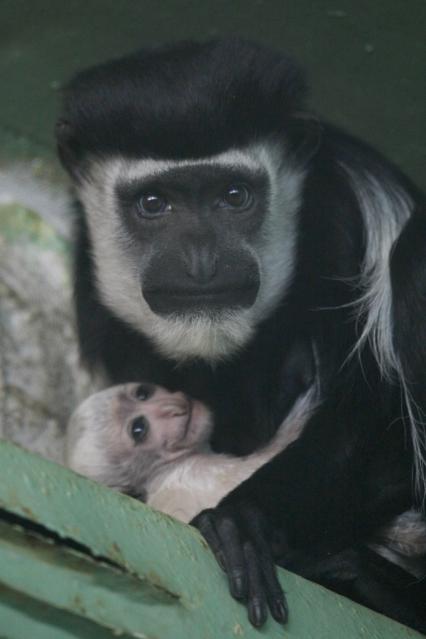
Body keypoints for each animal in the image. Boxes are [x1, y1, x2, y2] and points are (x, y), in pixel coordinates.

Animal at [57, 40, 426, 632]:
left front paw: (241, 523)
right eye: (153, 203)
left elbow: (384, 426)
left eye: (234, 196)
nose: (201, 261)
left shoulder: (342, 216)